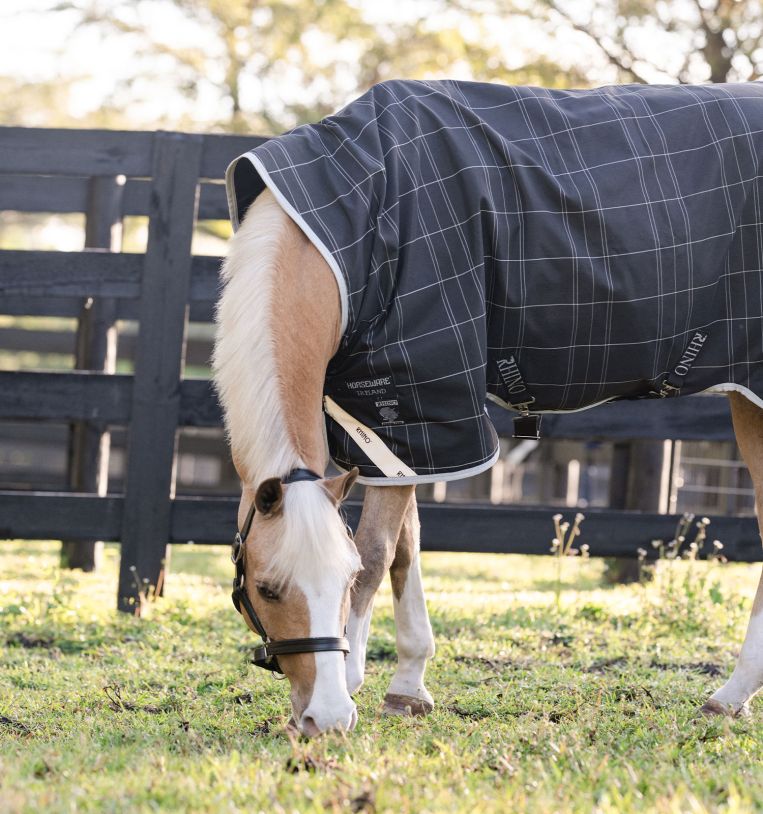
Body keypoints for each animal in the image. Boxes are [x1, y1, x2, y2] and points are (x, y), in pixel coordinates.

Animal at [212, 80, 763, 736]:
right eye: (268, 590)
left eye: (340, 583)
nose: (325, 718)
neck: (353, 226)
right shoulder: (394, 427)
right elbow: (406, 548)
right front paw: (408, 686)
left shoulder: (422, 398)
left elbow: (377, 552)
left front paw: (355, 679)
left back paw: (731, 694)